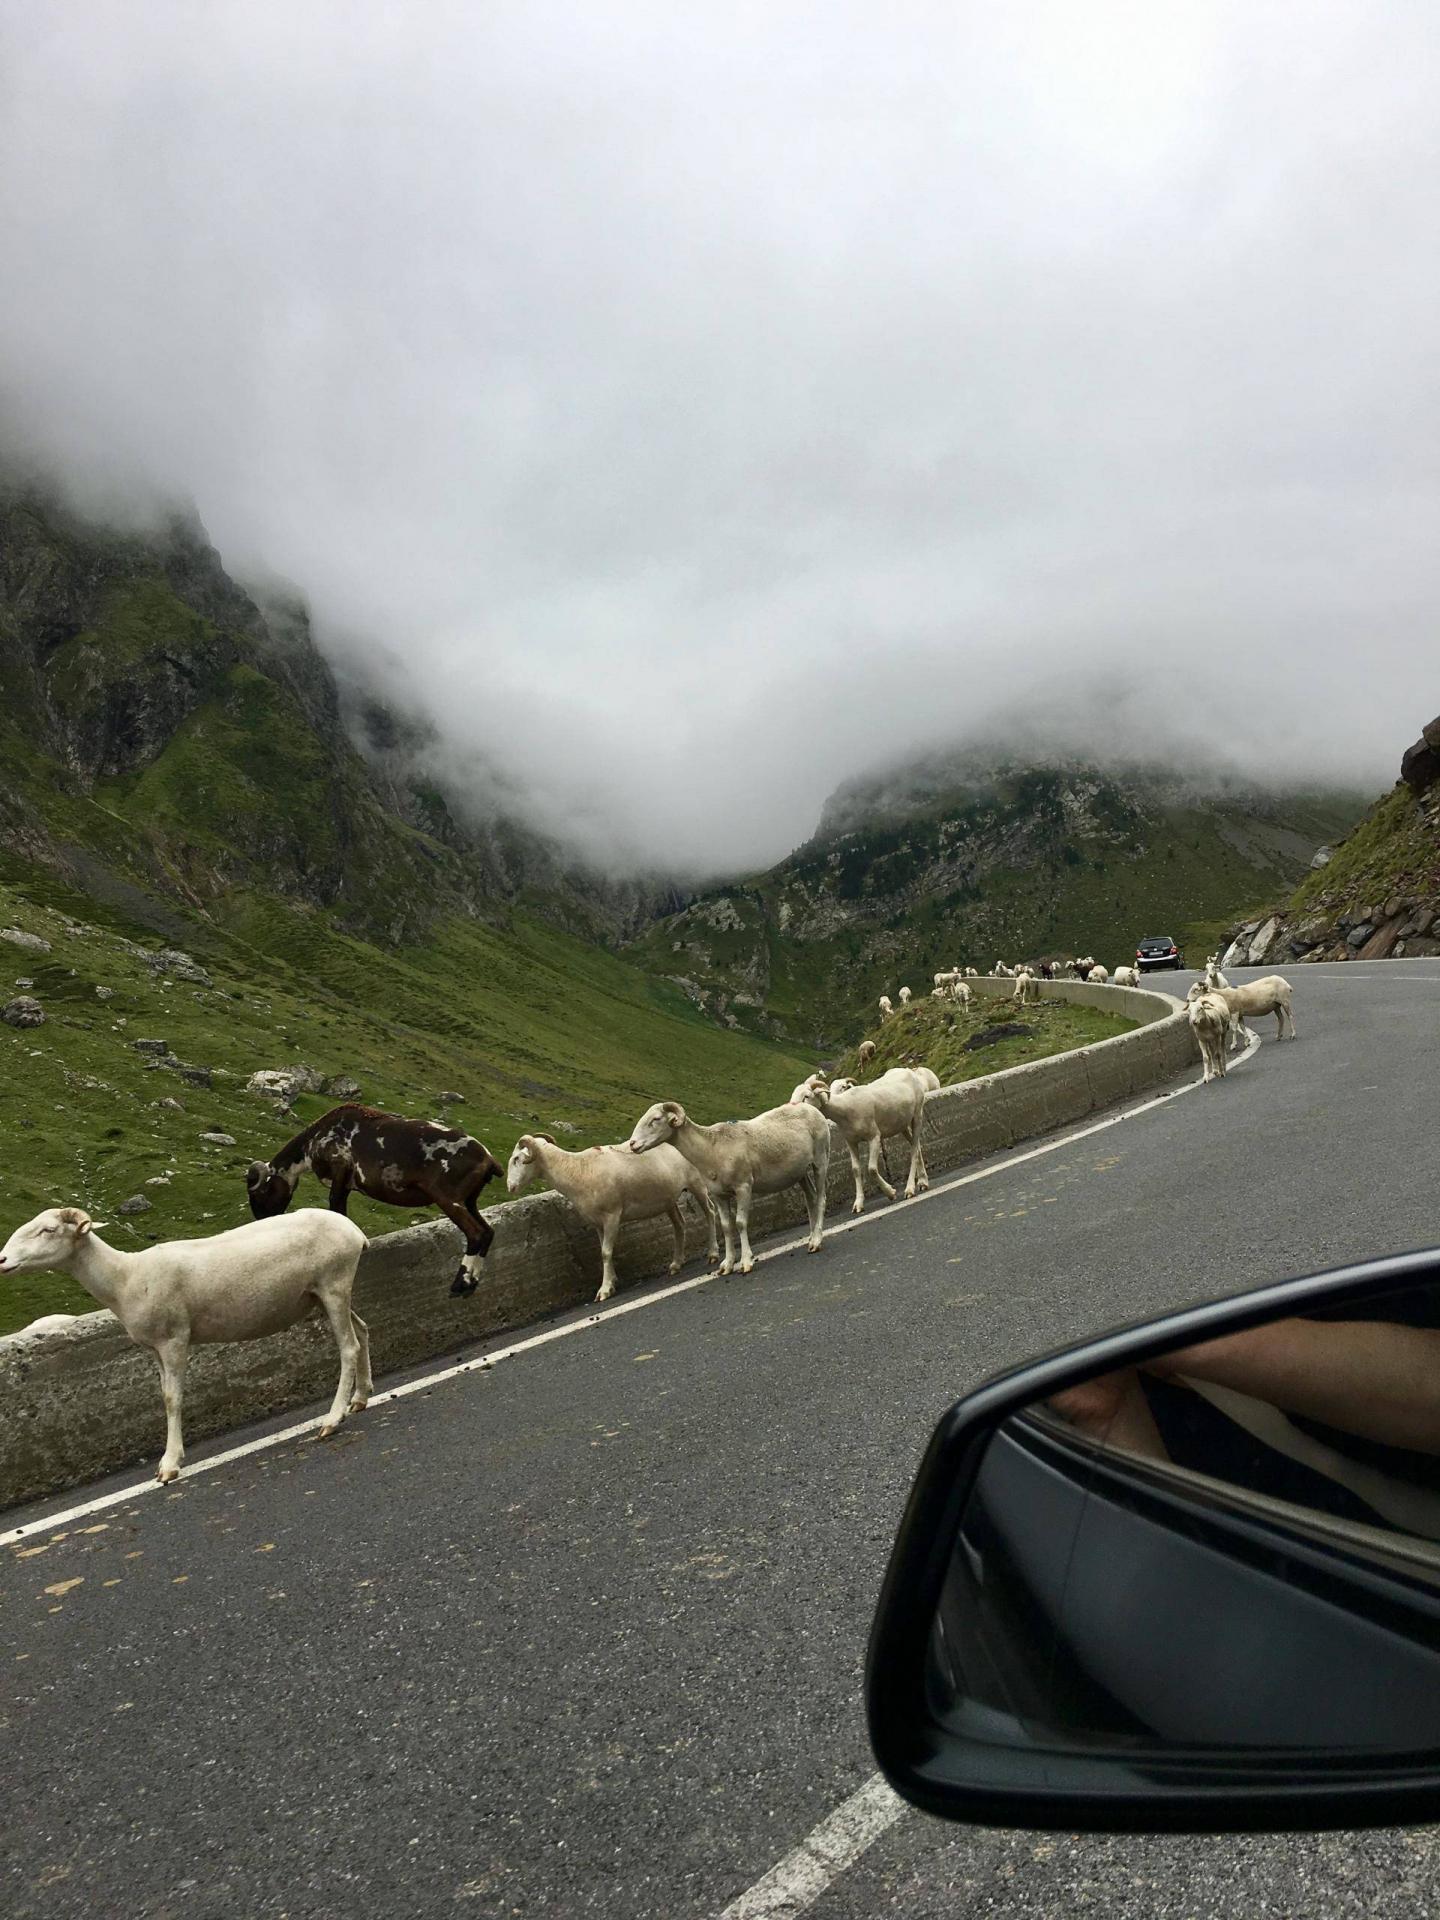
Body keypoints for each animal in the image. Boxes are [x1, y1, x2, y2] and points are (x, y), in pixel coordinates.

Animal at [0, 1198, 368, 1482]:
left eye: (48, 1230)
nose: (2, 1259)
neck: (125, 1278)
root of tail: (355, 1232)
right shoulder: (154, 1348)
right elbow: (164, 1395)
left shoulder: (173, 1339)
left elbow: (172, 1399)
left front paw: (170, 1463)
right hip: (321, 1295)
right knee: (362, 1332)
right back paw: (361, 1397)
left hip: (334, 1283)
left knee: (348, 1347)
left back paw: (333, 1419)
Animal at [506, 1121, 721, 1305]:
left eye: (517, 1159)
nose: (510, 1187)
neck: (576, 1169)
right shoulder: (597, 1222)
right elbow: (604, 1251)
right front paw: (612, 1280)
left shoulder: (611, 1215)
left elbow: (606, 1252)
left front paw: (605, 1289)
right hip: (668, 1199)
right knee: (679, 1224)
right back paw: (676, 1264)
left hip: (697, 1184)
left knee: (710, 1212)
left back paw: (712, 1253)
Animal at [625, 1098, 829, 1274]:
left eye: (656, 1119)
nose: (633, 1144)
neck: (711, 1149)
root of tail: (809, 1108)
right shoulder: (719, 1195)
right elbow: (726, 1227)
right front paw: (727, 1264)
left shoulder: (743, 1186)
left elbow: (740, 1223)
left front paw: (746, 1261)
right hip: (800, 1172)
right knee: (810, 1198)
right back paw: (811, 1238)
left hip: (820, 1159)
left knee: (820, 1198)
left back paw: (817, 1241)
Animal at [794, 1075, 940, 1205]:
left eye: (806, 1096)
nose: (794, 1109)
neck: (845, 1108)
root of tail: (908, 1071)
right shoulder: (851, 1142)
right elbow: (855, 1170)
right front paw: (858, 1203)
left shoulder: (874, 1137)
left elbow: (872, 1169)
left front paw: (890, 1192)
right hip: (901, 1124)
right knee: (917, 1146)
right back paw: (923, 1181)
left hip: (917, 1115)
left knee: (914, 1150)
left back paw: (910, 1189)